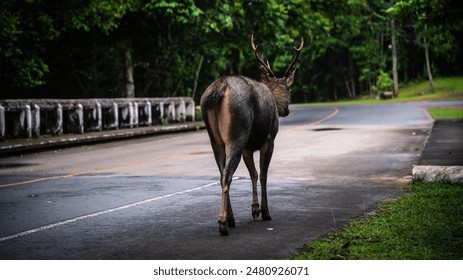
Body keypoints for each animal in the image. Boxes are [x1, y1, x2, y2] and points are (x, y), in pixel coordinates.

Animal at [200, 33, 304, 236]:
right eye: (290, 88)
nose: (286, 110)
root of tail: (220, 88)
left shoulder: (248, 148)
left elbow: (253, 174)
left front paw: (254, 209)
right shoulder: (269, 139)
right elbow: (263, 174)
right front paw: (265, 211)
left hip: (215, 138)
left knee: (221, 171)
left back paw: (231, 218)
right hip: (238, 130)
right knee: (227, 173)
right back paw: (223, 223)